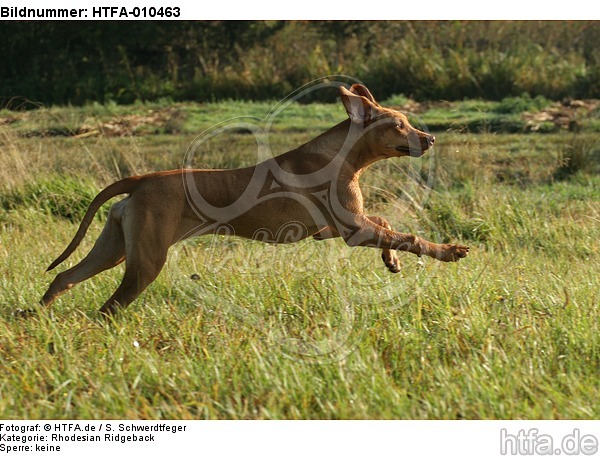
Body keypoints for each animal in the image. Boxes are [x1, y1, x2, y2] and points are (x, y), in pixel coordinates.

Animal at [41, 83, 468, 316]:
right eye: (399, 125)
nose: (431, 138)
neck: (343, 155)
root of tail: (143, 180)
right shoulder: (352, 229)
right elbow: (410, 237)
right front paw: (448, 251)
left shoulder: (342, 228)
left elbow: (388, 225)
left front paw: (391, 259)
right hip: (145, 261)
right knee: (107, 308)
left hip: (115, 248)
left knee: (65, 277)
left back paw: (38, 313)